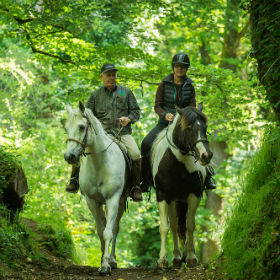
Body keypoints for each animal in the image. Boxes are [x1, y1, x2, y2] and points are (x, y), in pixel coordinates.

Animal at [64, 101, 126, 274]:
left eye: (81, 127)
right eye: (66, 128)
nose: (69, 156)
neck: (100, 163)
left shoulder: (113, 199)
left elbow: (108, 232)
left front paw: (105, 266)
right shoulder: (92, 201)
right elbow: (100, 230)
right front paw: (102, 260)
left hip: (121, 202)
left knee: (115, 229)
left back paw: (112, 260)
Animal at [150, 106, 213, 268]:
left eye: (205, 127)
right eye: (189, 128)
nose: (206, 155)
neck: (178, 164)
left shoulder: (194, 195)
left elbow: (190, 225)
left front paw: (191, 257)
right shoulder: (162, 196)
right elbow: (164, 227)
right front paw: (162, 260)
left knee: (183, 224)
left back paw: (183, 255)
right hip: (173, 200)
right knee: (174, 225)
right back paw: (177, 258)